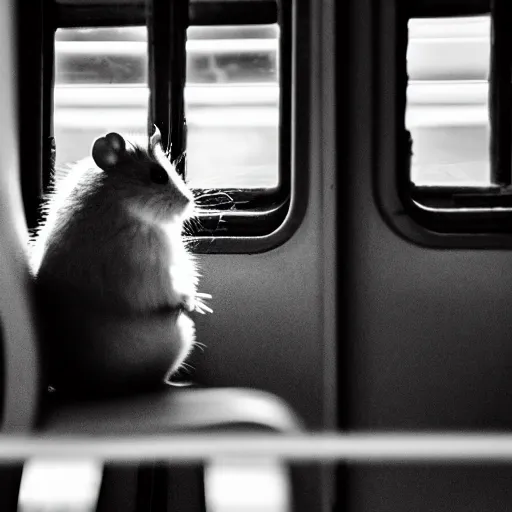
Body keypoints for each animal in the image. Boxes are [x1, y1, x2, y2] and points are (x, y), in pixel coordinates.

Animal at [31, 128, 211, 400]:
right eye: (159, 175)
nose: (189, 202)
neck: (119, 198)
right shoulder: (158, 265)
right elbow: (178, 292)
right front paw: (198, 303)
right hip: (182, 335)